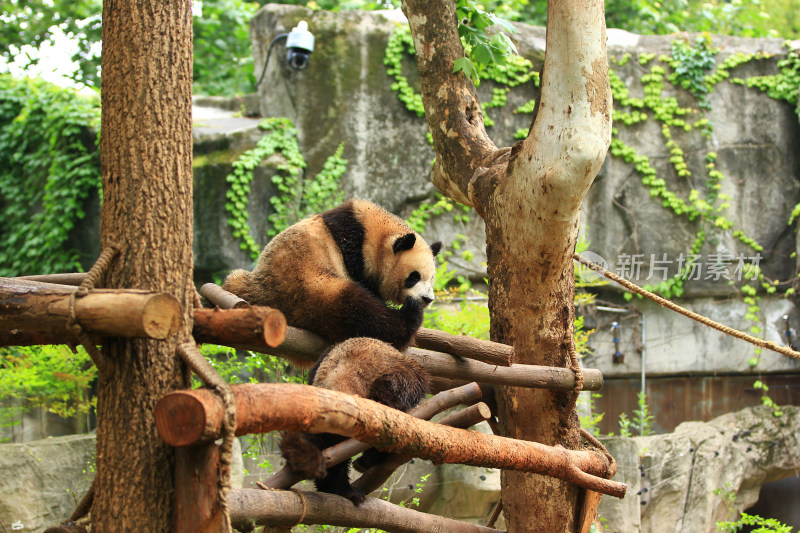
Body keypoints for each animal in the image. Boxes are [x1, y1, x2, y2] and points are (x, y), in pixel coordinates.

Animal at [222, 197, 440, 364]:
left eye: (432, 279)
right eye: (414, 277)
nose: (427, 299)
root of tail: (263, 295)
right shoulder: (354, 250)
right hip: (309, 288)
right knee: (359, 310)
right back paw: (409, 318)